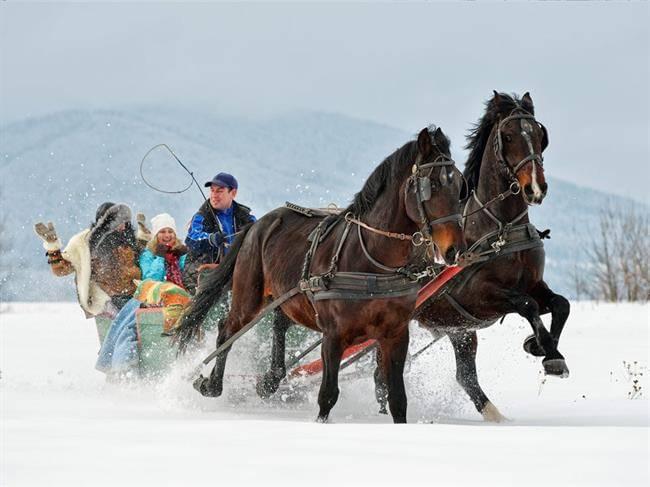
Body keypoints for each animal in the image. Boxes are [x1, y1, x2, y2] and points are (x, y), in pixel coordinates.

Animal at [175, 126, 464, 424]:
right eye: (431, 185)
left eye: (459, 185)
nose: (454, 249)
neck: (373, 263)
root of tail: (257, 224)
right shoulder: (333, 335)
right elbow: (327, 395)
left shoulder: (395, 334)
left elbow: (397, 399)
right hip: (248, 295)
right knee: (227, 331)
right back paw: (211, 384)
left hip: (287, 296)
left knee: (279, 324)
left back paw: (269, 379)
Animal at [390, 92, 568, 424]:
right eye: (508, 136)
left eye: (539, 135)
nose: (535, 188)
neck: (500, 228)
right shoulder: (480, 296)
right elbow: (528, 305)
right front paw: (547, 351)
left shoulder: (533, 284)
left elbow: (561, 305)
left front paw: (542, 348)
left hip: (457, 330)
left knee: (465, 376)